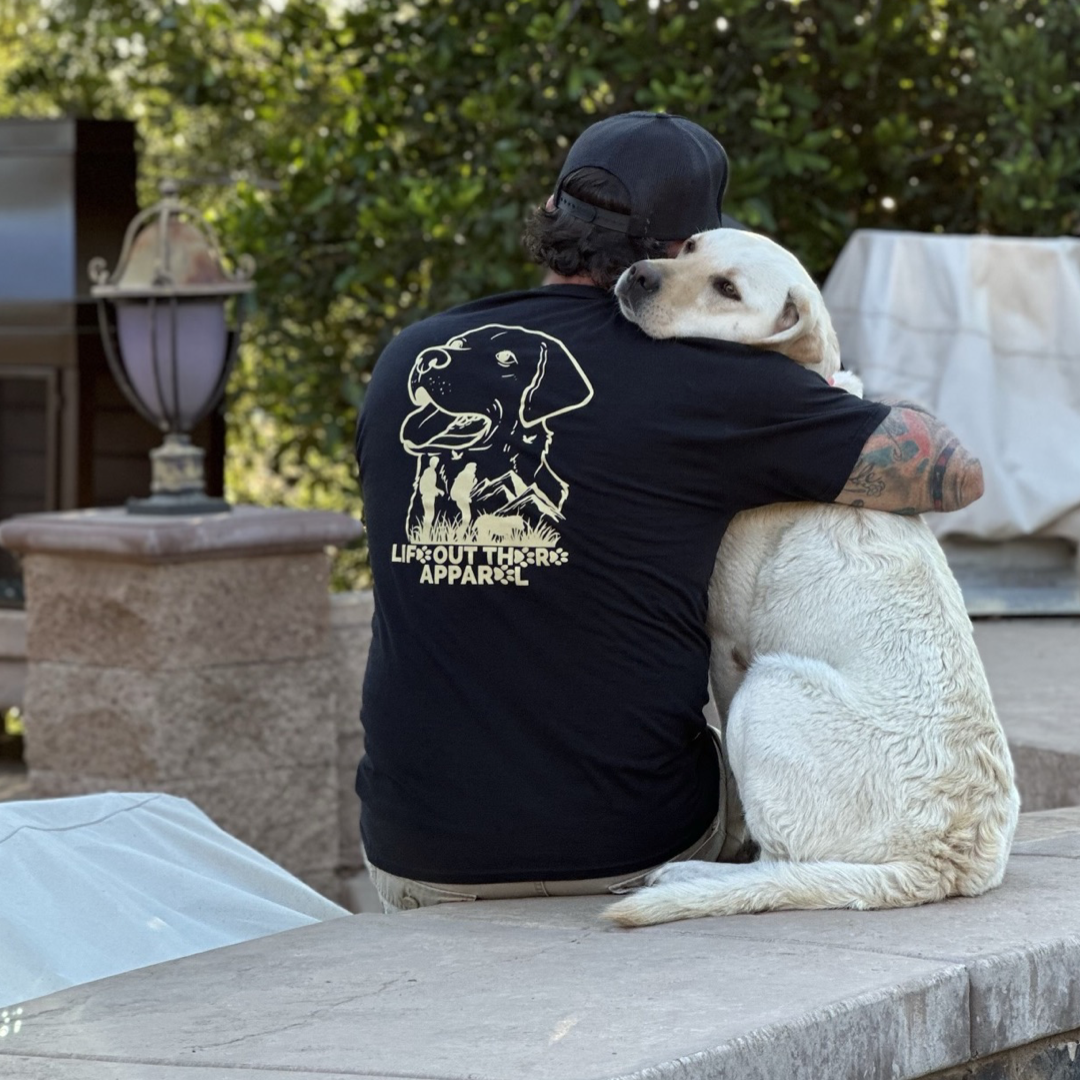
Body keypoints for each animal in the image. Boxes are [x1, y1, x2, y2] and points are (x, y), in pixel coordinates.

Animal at [609, 230, 1019, 928]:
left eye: (727, 289)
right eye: (689, 247)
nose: (638, 275)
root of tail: (944, 862)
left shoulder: (728, 648)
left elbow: (738, 802)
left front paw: (727, 847)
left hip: (768, 686)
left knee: (783, 863)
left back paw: (691, 874)